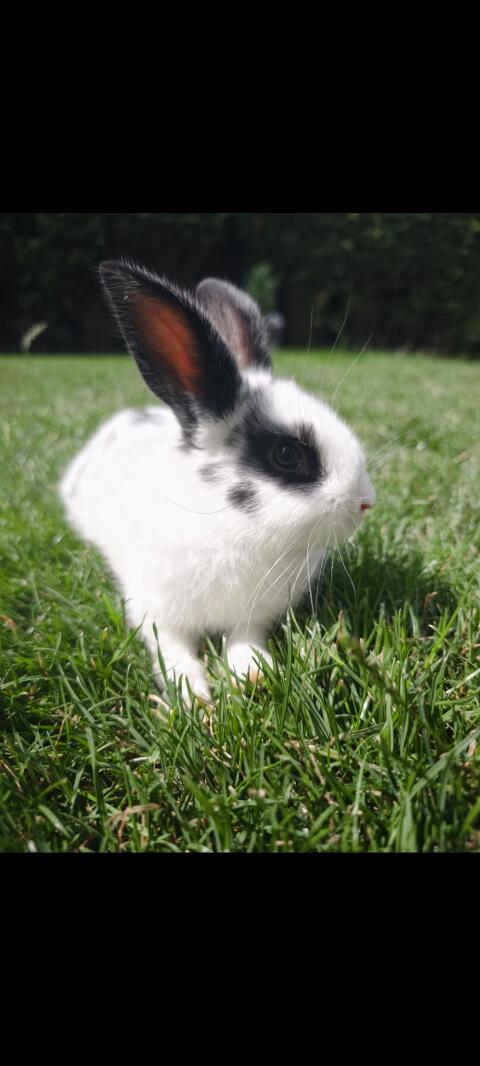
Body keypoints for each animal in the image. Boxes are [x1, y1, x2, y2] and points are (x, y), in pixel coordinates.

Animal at [59, 260, 375, 704]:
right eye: (287, 455)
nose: (365, 501)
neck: (232, 528)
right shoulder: (155, 613)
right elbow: (173, 652)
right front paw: (194, 699)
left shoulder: (253, 616)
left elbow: (244, 640)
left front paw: (254, 675)